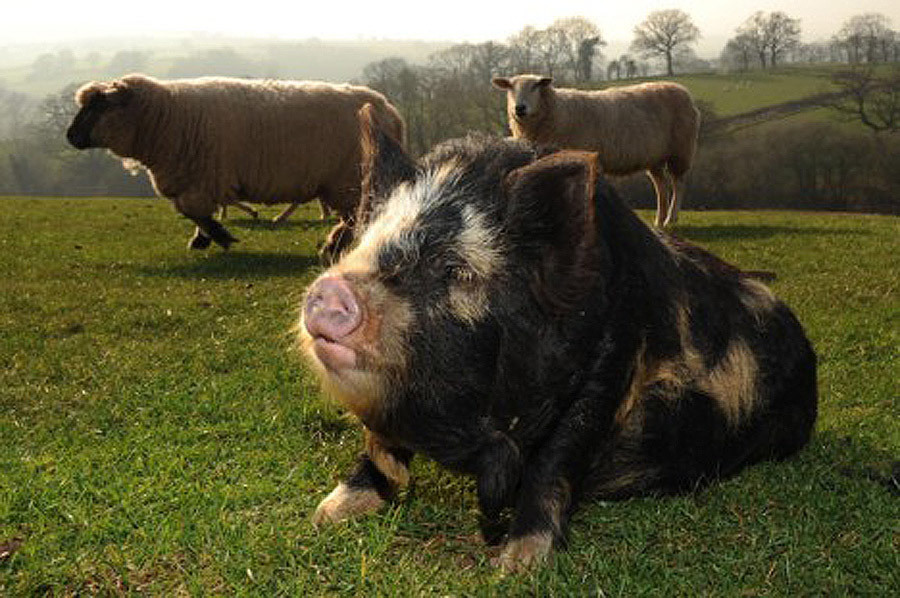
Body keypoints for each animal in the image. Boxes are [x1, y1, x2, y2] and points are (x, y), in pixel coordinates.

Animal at [68, 73, 406, 260]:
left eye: (98, 106)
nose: (70, 136)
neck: (165, 117)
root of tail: (388, 109)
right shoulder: (194, 181)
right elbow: (194, 213)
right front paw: (203, 238)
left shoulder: (202, 180)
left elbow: (193, 211)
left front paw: (219, 236)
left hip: (348, 179)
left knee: (358, 215)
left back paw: (332, 246)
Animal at [492, 73, 696, 227]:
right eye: (510, 87)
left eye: (535, 86)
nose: (519, 108)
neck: (556, 111)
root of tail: (681, 89)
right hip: (654, 156)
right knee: (661, 185)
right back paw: (659, 221)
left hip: (681, 150)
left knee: (678, 184)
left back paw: (671, 219)